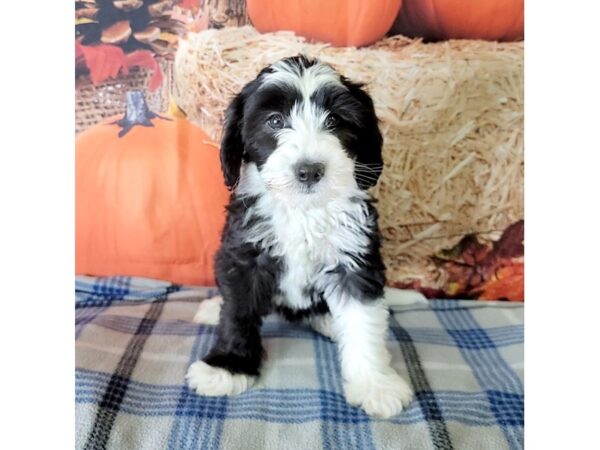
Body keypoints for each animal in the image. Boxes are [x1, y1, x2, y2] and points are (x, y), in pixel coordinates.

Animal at [186, 55, 412, 418]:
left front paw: (375, 384)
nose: (308, 171)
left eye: (334, 120)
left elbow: (364, 321)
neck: (303, 211)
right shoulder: (244, 254)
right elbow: (236, 311)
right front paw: (228, 366)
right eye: (275, 121)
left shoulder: (354, 259)